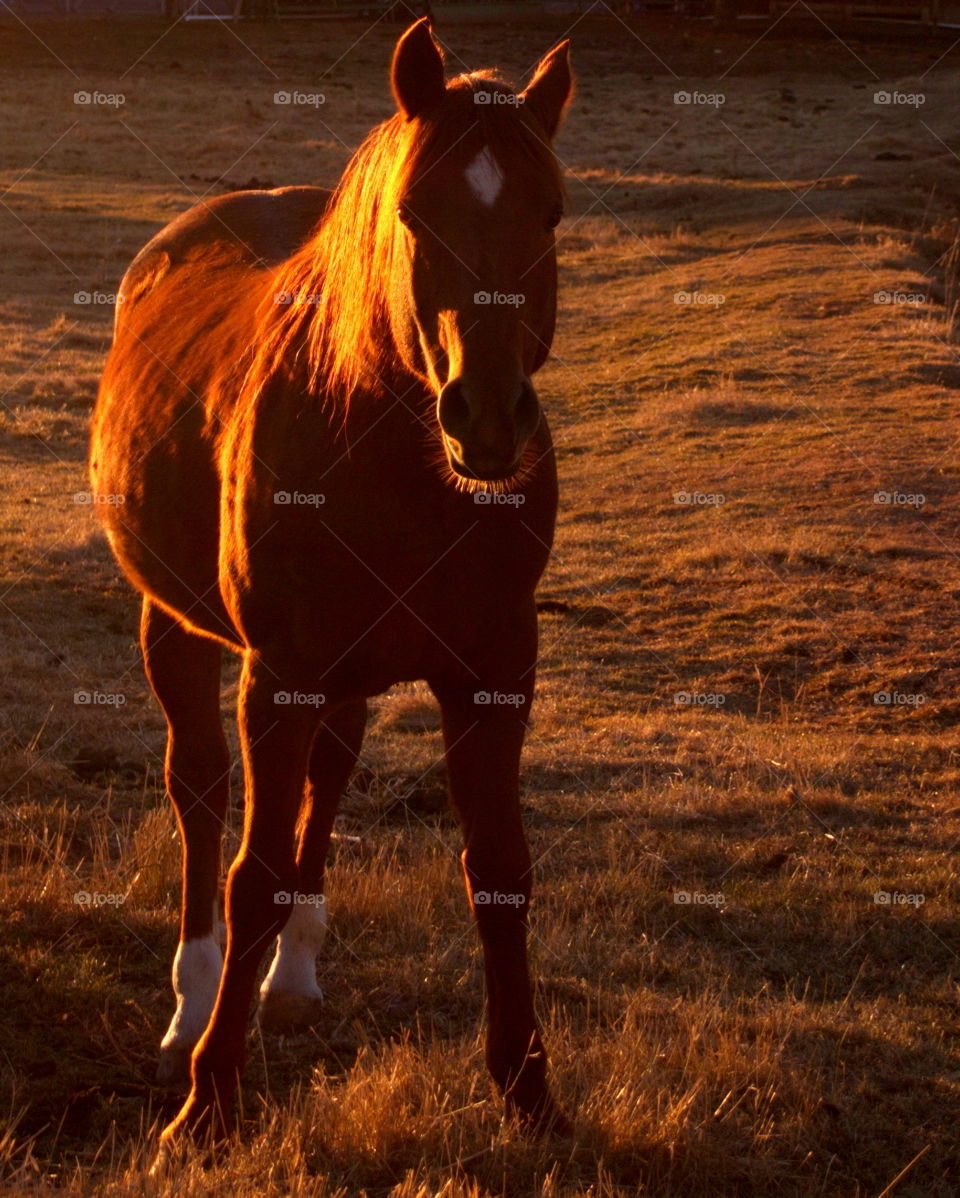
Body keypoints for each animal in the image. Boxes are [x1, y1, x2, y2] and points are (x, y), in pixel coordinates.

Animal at [88, 18, 570, 1140]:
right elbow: (252, 872)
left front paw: (527, 1088)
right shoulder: (280, 676)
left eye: (553, 213)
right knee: (200, 792)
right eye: (413, 213)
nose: (488, 420)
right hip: (175, 628)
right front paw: (208, 1100)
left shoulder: (495, 673)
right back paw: (192, 999)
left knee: (330, 776)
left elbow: (501, 872)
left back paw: (296, 976)